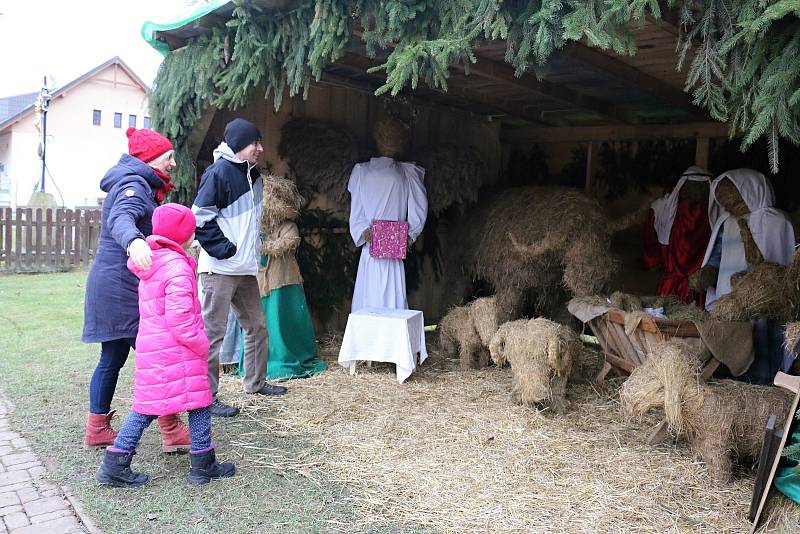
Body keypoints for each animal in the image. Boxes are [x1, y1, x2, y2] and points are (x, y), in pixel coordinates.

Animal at [620, 344, 792, 486]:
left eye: (656, 382)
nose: (625, 395)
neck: (699, 403)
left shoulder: (716, 443)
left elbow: (719, 466)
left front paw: (719, 482)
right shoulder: (701, 440)